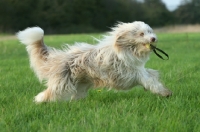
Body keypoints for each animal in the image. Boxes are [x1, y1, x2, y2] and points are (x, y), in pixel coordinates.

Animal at [16, 21, 172, 103]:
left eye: (150, 31)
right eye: (141, 34)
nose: (153, 39)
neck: (126, 49)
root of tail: (58, 58)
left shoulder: (137, 69)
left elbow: (151, 74)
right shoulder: (129, 74)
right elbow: (149, 80)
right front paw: (164, 92)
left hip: (81, 85)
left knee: (75, 96)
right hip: (62, 83)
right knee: (49, 92)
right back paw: (39, 101)